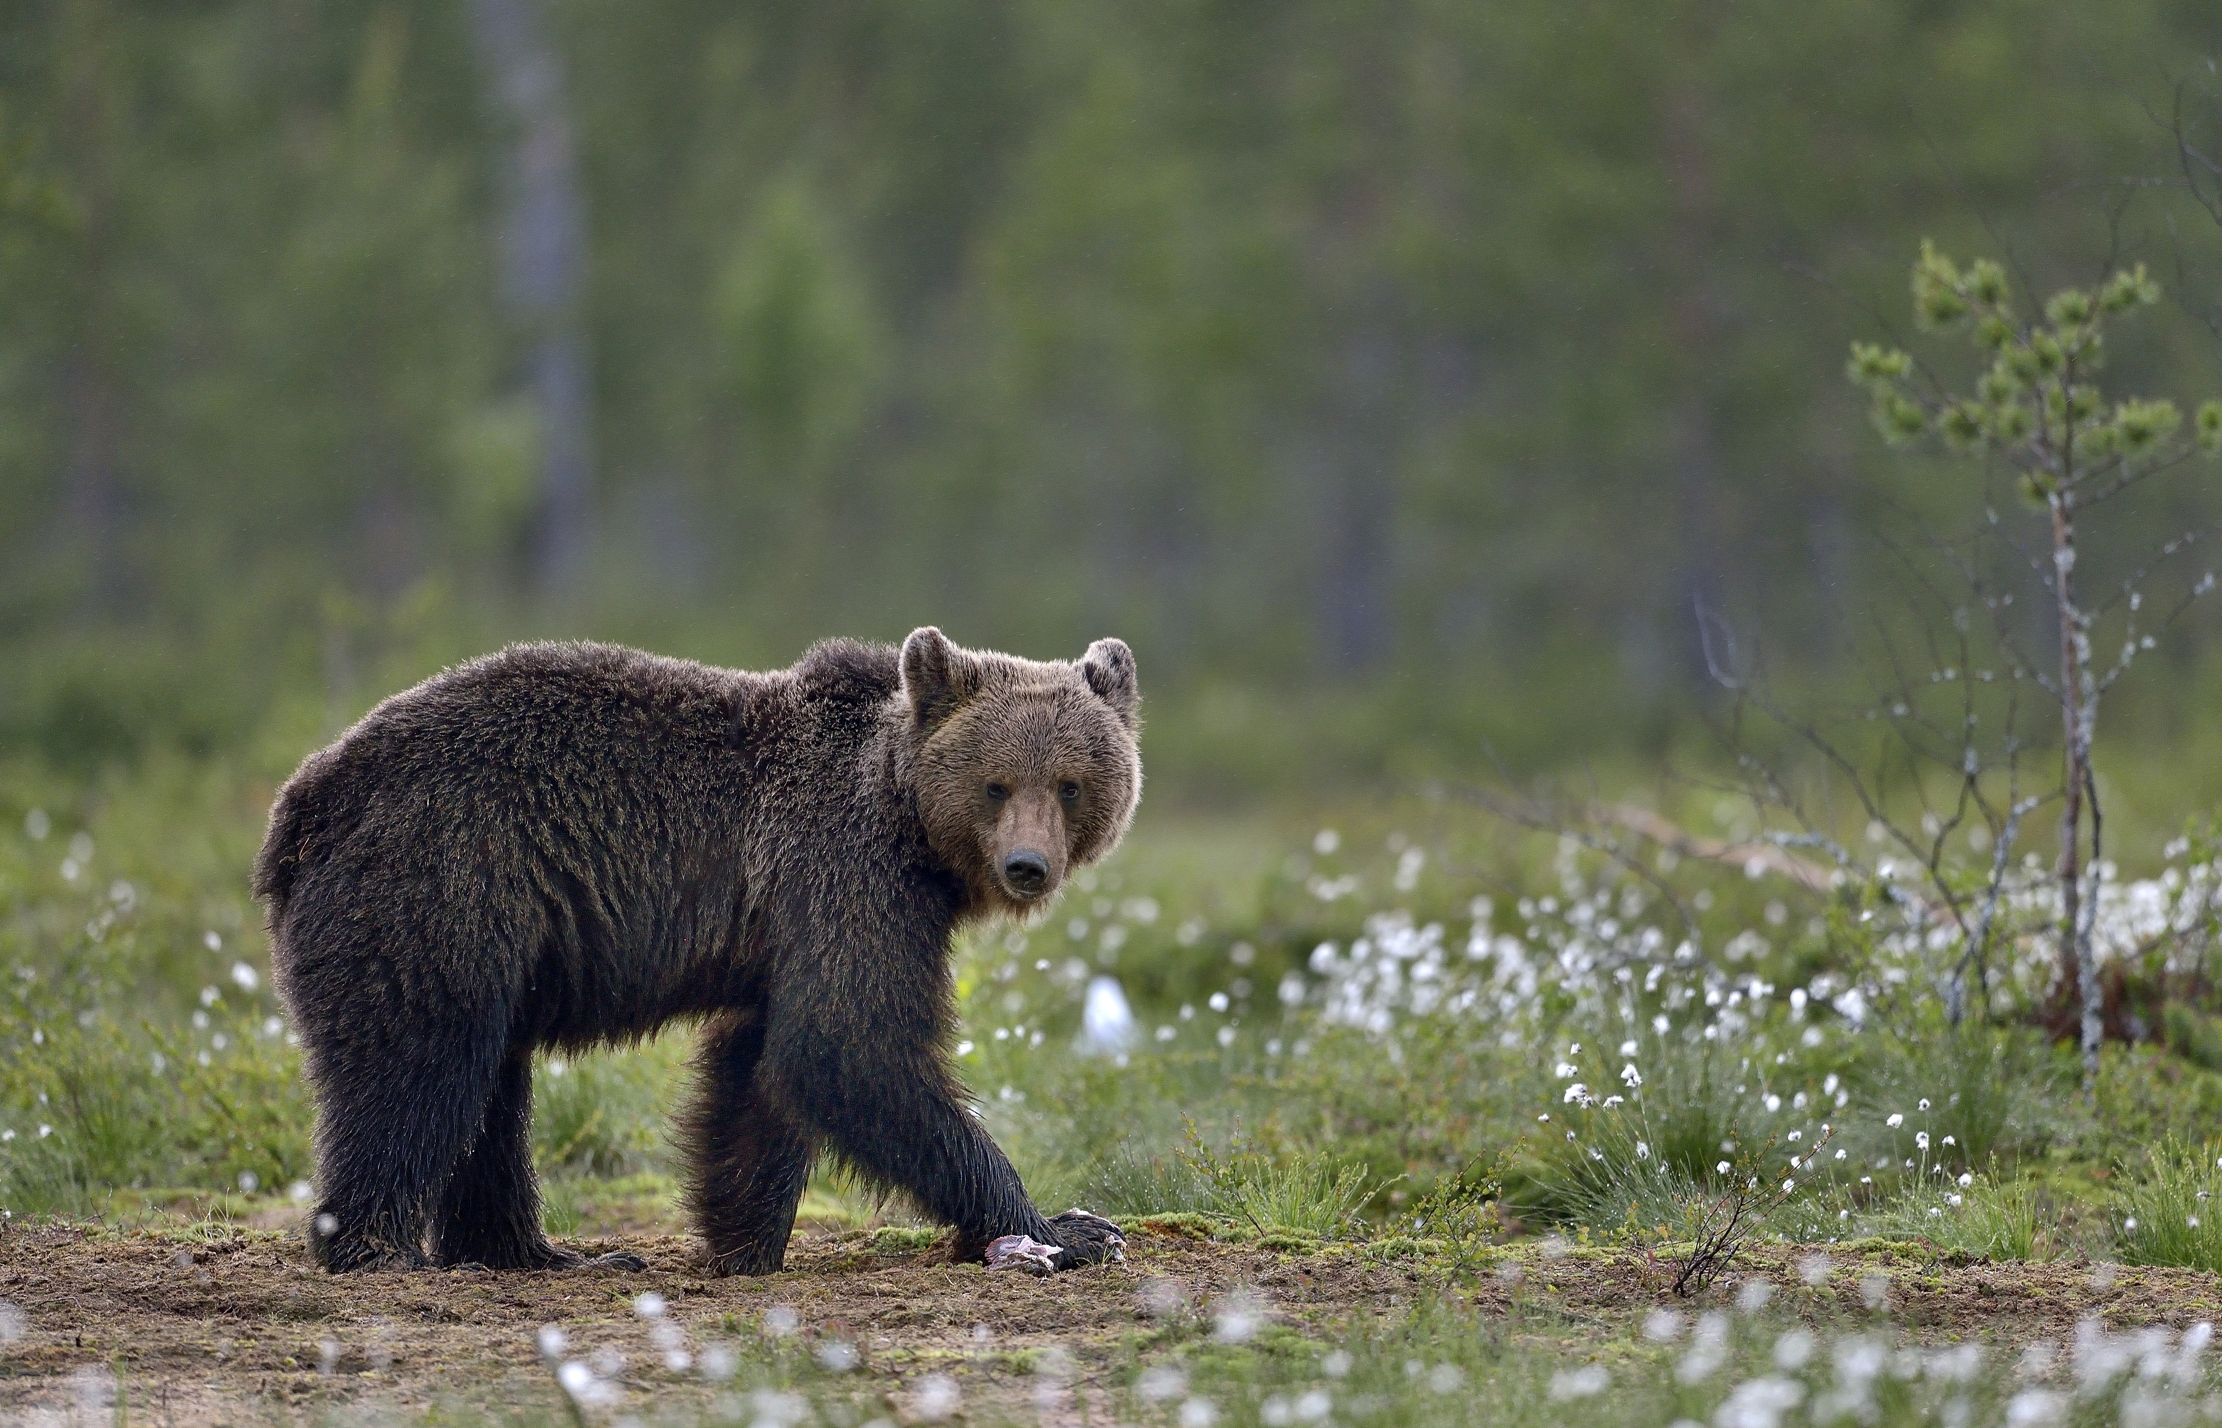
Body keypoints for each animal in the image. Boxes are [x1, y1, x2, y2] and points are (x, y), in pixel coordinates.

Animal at [251, 627, 1139, 1275]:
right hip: (440, 885)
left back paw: (540, 1253)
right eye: (996, 783)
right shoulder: (845, 874)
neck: (908, 825)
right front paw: (1067, 1226)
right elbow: (852, 1046)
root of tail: (302, 800)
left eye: (1070, 783)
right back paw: (378, 1247)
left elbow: (763, 1069)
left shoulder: (783, 928)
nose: (1027, 866)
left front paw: (742, 1237)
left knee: (490, 1089)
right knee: (419, 1065)